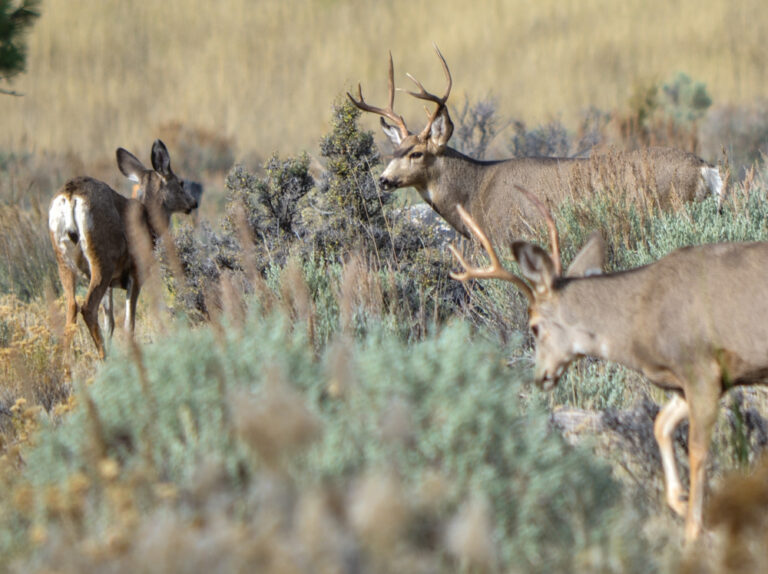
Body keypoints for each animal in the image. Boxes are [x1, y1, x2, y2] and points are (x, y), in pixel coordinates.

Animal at [48, 140, 198, 359]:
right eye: (180, 183)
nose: (193, 203)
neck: (149, 221)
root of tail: (70, 195)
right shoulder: (136, 273)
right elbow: (129, 323)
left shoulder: (112, 284)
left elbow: (110, 322)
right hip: (102, 258)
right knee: (87, 307)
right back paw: (104, 359)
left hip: (63, 261)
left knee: (71, 307)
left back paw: (68, 365)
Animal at [348, 47, 723, 244]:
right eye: (393, 152)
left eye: (417, 153)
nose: (383, 179)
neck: (475, 193)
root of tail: (707, 169)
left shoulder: (511, 236)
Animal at [447, 186, 768, 543]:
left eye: (534, 326)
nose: (540, 376)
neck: (640, 319)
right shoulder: (691, 382)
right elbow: (660, 426)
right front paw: (680, 500)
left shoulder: (701, 368)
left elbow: (698, 451)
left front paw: (695, 531)